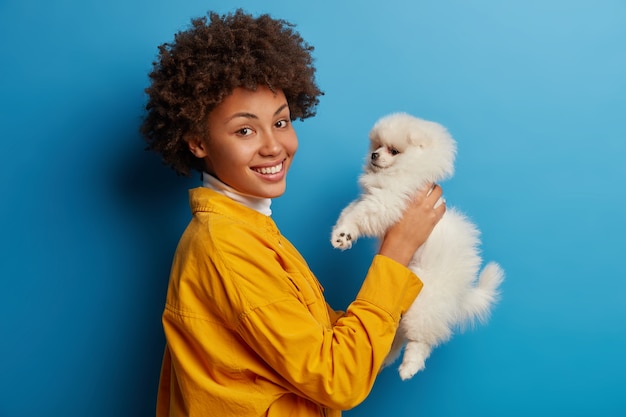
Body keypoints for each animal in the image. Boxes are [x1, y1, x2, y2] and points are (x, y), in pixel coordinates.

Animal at [332, 112, 502, 378]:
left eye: (393, 150)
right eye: (376, 145)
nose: (373, 156)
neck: (402, 172)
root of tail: (460, 292)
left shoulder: (386, 202)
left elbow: (359, 214)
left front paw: (344, 234)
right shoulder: (369, 198)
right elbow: (349, 211)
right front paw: (340, 234)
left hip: (425, 301)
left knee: (421, 340)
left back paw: (409, 366)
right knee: (401, 334)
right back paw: (385, 359)